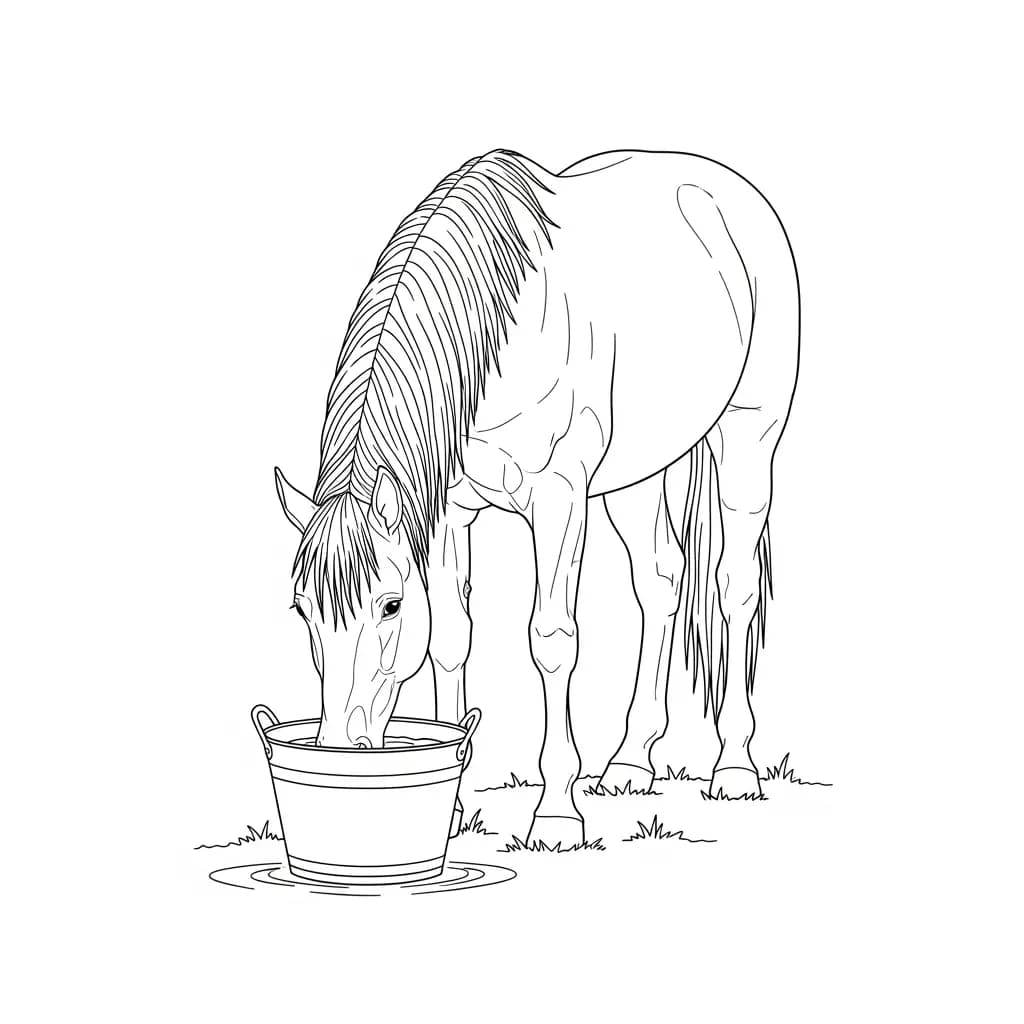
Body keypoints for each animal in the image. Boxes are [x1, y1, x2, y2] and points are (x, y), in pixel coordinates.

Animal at [274, 149, 799, 848]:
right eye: (303, 609)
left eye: (389, 606)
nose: (340, 747)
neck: (495, 340)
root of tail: (721, 184)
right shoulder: (448, 513)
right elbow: (452, 638)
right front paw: (456, 798)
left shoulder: (559, 498)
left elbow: (552, 639)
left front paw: (556, 814)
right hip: (635, 476)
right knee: (660, 583)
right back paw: (629, 764)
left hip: (749, 437)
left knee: (734, 586)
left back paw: (734, 768)